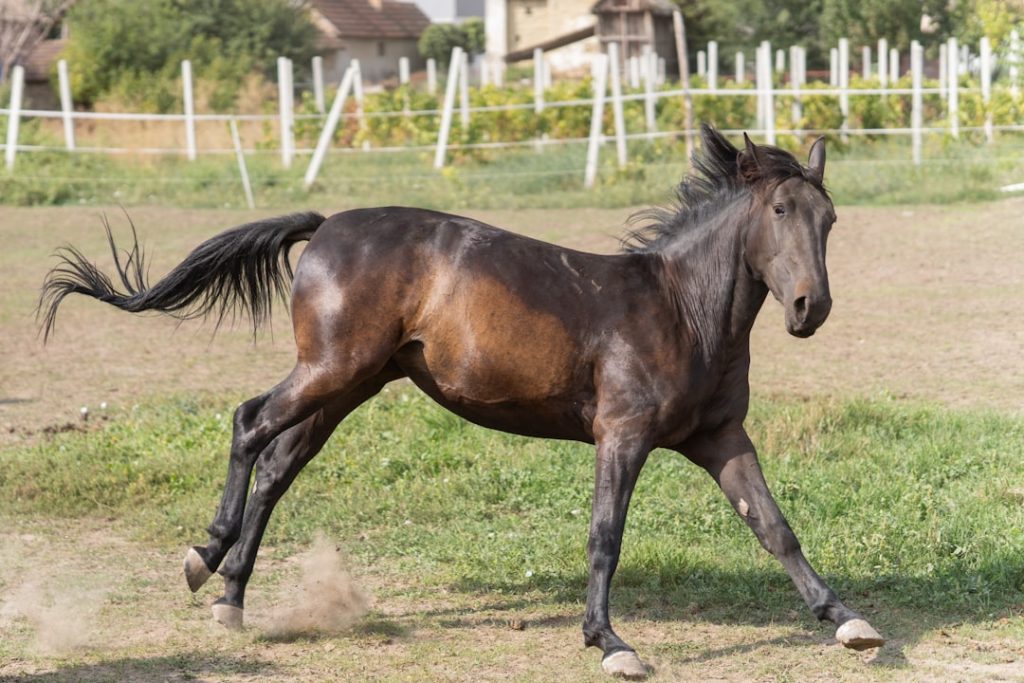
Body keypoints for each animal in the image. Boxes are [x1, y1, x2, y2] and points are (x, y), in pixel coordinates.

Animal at [40, 126, 883, 679]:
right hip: (330, 369)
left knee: (279, 464)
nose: (810, 307)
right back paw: (203, 557)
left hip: (348, 384)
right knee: (250, 424)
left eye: (830, 218)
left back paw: (233, 599)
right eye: (778, 213)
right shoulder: (623, 434)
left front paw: (848, 621)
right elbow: (605, 535)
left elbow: (775, 527)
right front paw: (611, 642)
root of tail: (327, 224)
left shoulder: (719, 437)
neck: (679, 309)